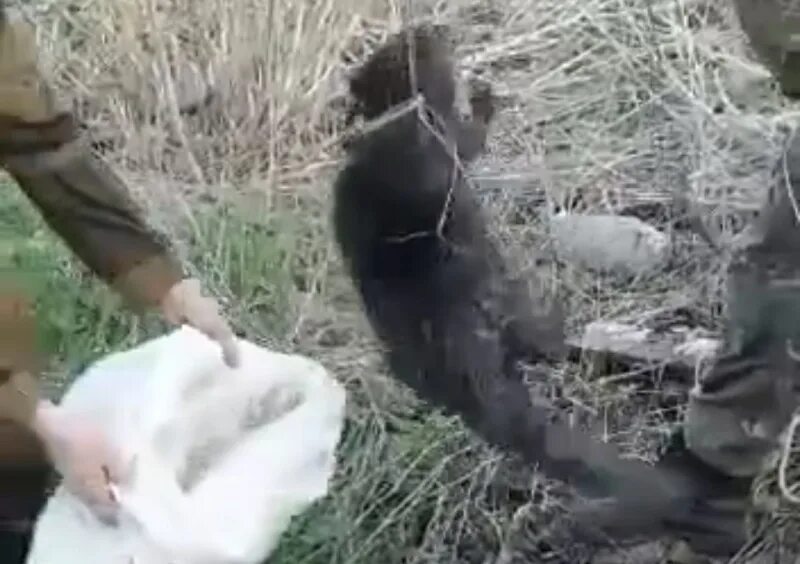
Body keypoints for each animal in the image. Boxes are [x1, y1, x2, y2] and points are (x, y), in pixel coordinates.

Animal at [331, 24, 688, 505]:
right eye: (421, 39)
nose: (436, 26)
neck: (398, 122)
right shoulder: (444, 141)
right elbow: (471, 141)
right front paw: (483, 95)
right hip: (508, 296)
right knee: (542, 341)